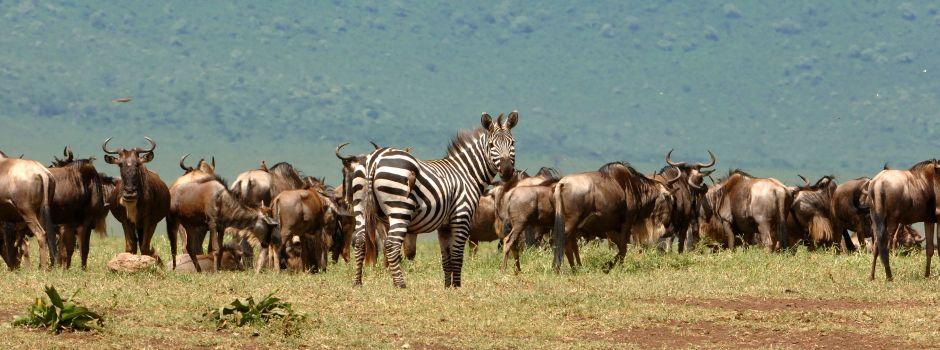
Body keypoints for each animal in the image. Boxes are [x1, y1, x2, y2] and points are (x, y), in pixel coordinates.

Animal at [348, 111, 516, 288]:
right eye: (491, 145)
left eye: (512, 143)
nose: (507, 171)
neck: (466, 173)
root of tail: (375, 158)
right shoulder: (461, 217)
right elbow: (457, 256)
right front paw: (457, 287)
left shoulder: (444, 227)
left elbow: (446, 258)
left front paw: (448, 287)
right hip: (400, 209)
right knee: (391, 244)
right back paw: (400, 284)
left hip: (360, 206)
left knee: (359, 241)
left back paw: (358, 282)